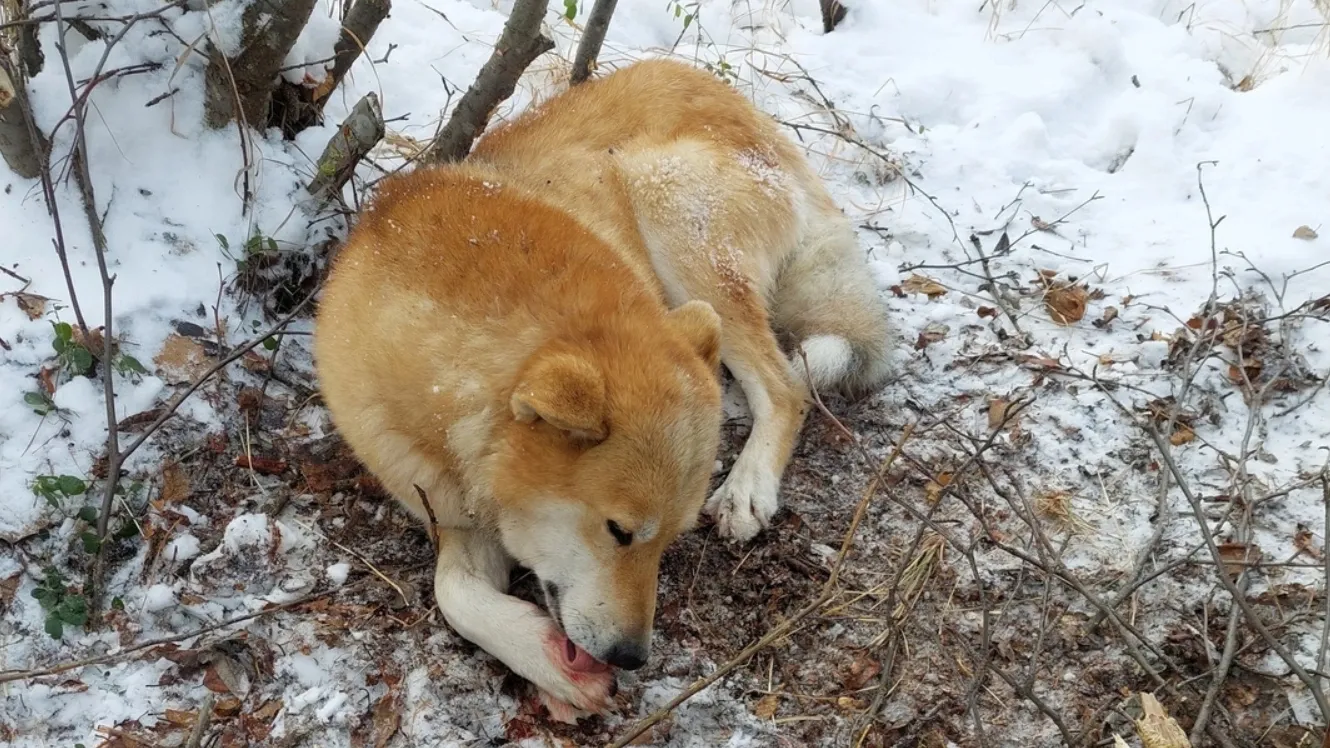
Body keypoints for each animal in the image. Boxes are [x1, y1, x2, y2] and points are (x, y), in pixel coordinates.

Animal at [313, 58, 893, 718]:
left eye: (669, 541)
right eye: (619, 532)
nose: (632, 658)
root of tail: (739, 105)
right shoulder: (454, 513)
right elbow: (452, 595)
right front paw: (545, 659)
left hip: (672, 215)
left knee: (786, 386)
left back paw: (748, 487)